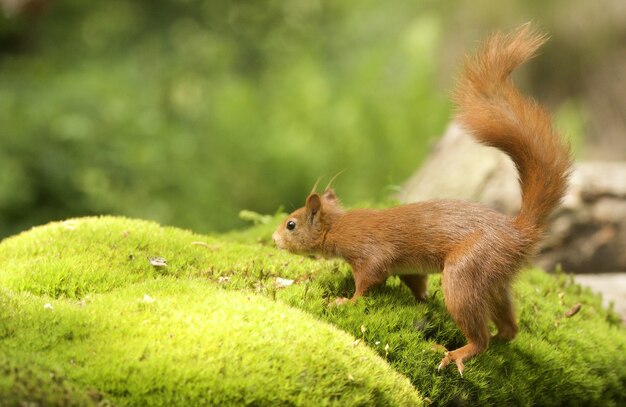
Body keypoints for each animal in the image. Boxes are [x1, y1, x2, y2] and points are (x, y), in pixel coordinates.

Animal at [270, 24, 568, 376]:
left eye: (291, 224)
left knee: (478, 337)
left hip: (466, 273)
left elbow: (368, 280)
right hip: (495, 280)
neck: (338, 226)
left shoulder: (370, 253)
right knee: (510, 327)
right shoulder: (409, 268)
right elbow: (416, 281)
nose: (274, 238)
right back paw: (499, 338)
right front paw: (422, 299)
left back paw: (458, 352)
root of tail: (520, 233)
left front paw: (346, 301)